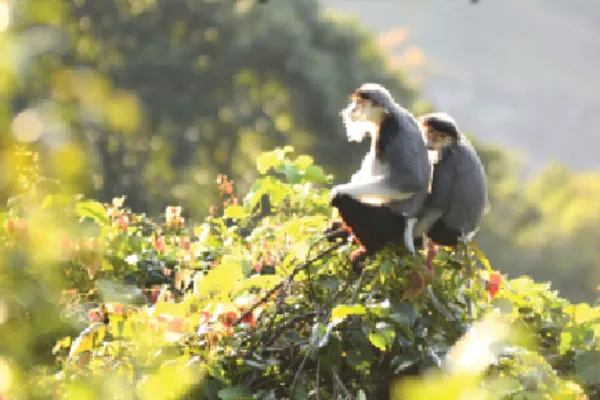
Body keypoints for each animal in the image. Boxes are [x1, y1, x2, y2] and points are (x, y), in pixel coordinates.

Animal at [326, 83, 431, 267]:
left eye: (359, 103)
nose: (351, 109)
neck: (388, 116)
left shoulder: (390, 131)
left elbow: (410, 181)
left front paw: (339, 190)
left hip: (390, 226)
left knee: (344, 201)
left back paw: (370, 249)